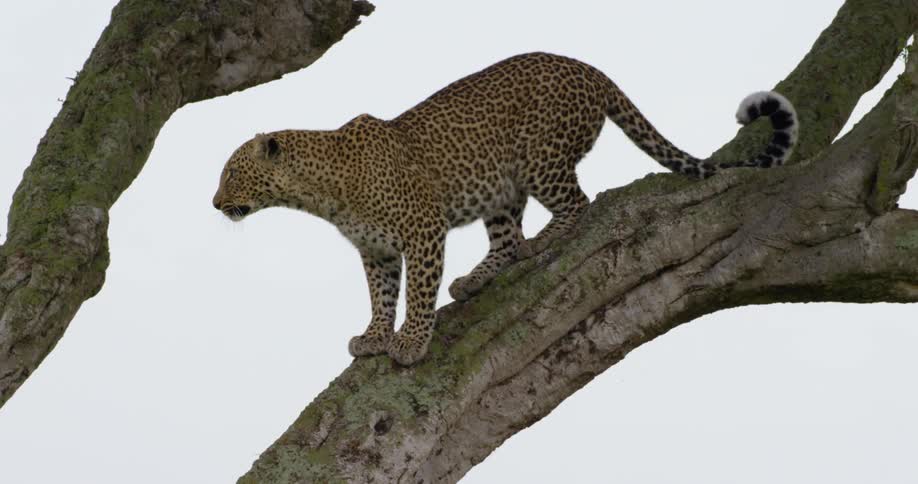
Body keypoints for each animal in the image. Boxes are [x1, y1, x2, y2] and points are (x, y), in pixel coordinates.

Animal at [211, 52, 798, 366]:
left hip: (541, 159)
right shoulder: (375, 251)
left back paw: (549, 239)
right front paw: (376, 336)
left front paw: (411, 342)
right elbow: (381, 296)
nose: (215, 204)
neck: (320, 191)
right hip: (500, 188)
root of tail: (587, 67)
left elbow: (417, 294)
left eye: (231, 173)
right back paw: (477, 277)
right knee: (507, 239)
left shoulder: (423, 229)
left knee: (575, 204)